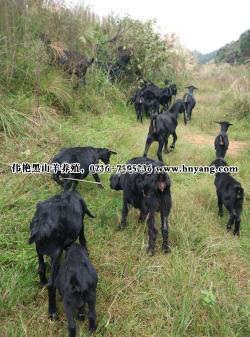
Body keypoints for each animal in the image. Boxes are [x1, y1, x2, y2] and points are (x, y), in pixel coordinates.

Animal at [27, 190, 94, 318]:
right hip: (56, 254)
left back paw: (43, 283)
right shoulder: (81, 224)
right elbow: (83, 239)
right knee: (51, 283)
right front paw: (86, 252)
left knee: (41, 268)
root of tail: (40, 227)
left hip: (39, 250)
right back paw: (53, 311)